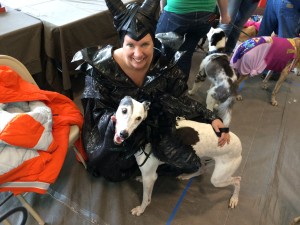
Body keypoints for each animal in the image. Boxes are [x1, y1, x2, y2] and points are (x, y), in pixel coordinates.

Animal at [112, 96, 241, 216]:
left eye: (139, 118)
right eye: (124, 110)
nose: (123, 134)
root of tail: (239, 144)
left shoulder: (150, 176)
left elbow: (146, 199)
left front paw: (141, 209)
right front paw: (139, 179)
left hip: (218, 179)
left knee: (237, 180)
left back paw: (234, 199)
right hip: (200, 158)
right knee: (203, 169)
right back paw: (186, 176)